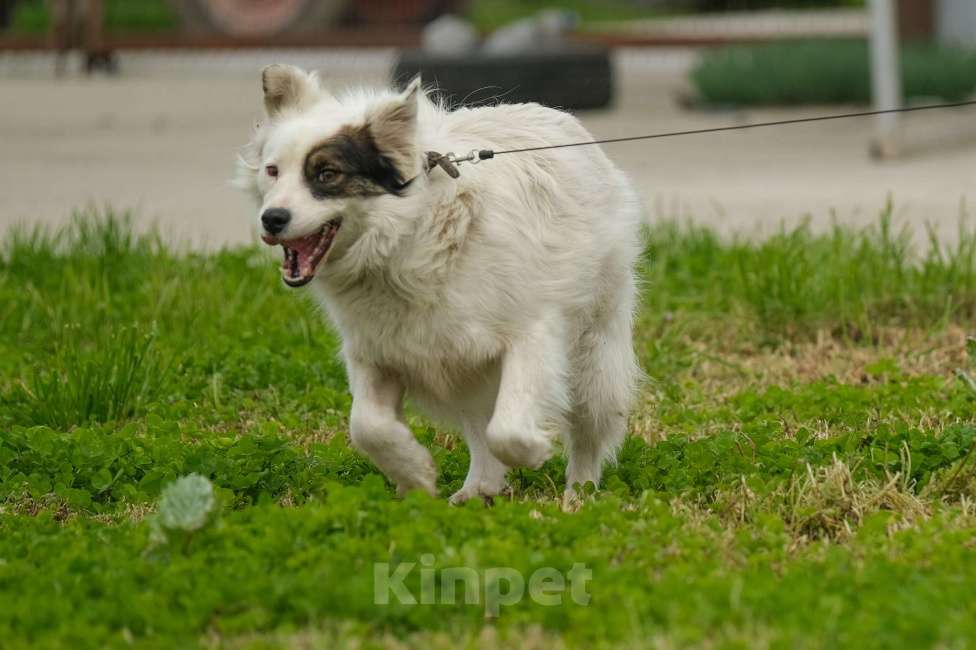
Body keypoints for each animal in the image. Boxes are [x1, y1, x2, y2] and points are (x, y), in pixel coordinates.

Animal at [237, 64, 644, 502]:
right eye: (273, 171)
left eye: (327, 174)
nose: (271, 219)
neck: (404, 239)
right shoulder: (375, 352)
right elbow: (366, 426)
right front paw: (414, 472)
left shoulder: (532, 335)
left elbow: (508, 429)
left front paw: (534, 452)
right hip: (464, 365)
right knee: (478, 424)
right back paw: (478, 487)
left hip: (593, 349)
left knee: (586, 423)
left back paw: (579, 491)